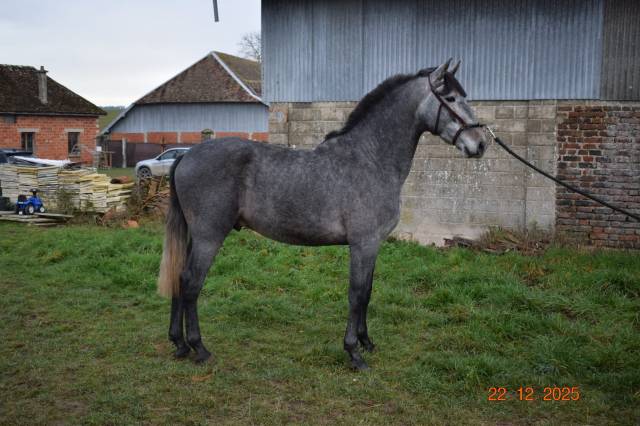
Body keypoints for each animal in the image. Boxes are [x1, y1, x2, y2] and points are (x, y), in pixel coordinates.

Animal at [157, 59, 488, 370]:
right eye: (451, 98)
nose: (481, 144)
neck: (369, 159)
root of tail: (186, 155)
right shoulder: (363, 244)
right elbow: (357, 294)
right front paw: (354, 352)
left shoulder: (373, 245)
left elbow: (368, 292)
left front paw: (367, 342)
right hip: (209, 237)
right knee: (191, 283)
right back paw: (199, 348)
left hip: (195, 235)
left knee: (179, 277)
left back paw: (179, 343)